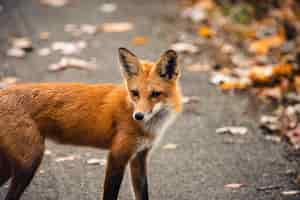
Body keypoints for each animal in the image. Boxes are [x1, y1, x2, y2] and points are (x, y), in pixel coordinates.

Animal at [0, 48, 182, 200]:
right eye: (135, 93)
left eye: (155, 94)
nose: (138, 116)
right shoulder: (117, 155)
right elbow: (109, 195)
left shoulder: (139, 157)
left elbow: (142, 194)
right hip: (29, 162)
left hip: (12, 166)